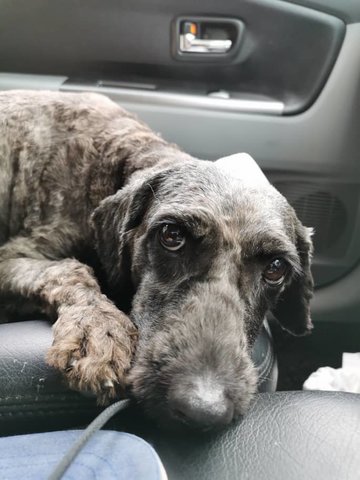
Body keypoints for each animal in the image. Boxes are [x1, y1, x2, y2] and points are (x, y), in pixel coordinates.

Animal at [0, 90, 312, 428]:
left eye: (276, 267)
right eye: (171, 235)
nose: (203, 409)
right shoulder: (12, 258)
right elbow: (68, 270)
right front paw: (98, 330)